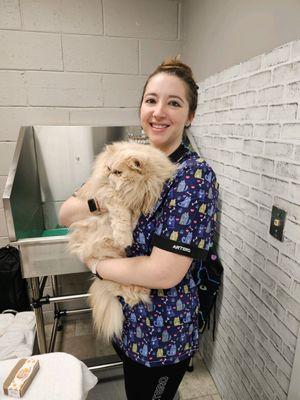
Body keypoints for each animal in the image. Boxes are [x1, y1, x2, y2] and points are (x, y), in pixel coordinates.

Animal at [68, 142, 176, 342]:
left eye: (117, 172)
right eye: (108, 169)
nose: (109, 174)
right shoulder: (107, 194)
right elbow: (119, 211)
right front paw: (124, 236)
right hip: (106, 256)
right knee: (116, 286)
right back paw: (137, 293)